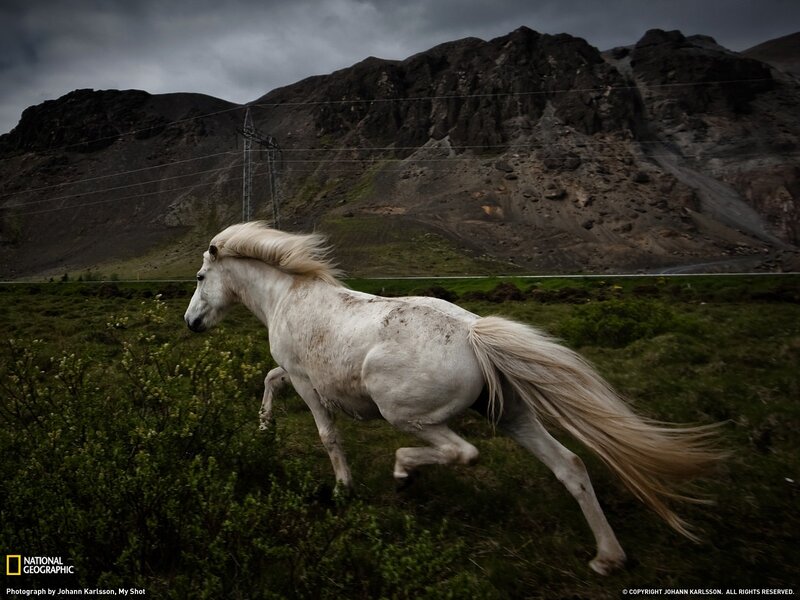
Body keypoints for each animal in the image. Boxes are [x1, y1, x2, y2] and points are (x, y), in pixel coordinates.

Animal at [184, 221, 724, 575]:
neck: (288, 297)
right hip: (511, 415)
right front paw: (263, 430)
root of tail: (474, 333)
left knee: (461, 452)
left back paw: (404, 474)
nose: (190, 323)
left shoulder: (306, 381)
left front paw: (342, 489)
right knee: (570, 465)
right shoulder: (298, 377)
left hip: (406, 414)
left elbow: (326, 434)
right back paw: (608, 558)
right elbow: (270, 382)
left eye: (200, 278)